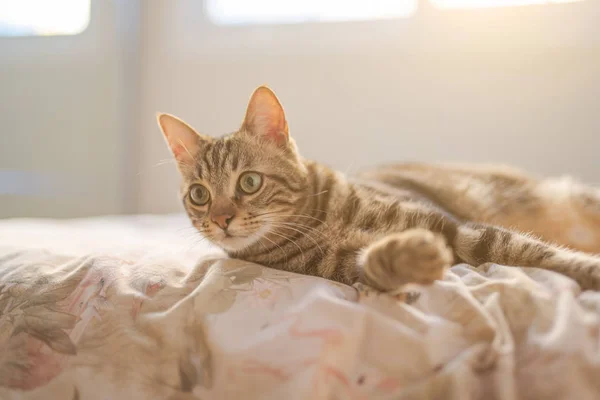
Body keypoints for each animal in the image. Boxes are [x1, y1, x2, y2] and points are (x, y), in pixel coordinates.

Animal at [156, 85, 600, 290]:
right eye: (199, 195)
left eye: (249, 182)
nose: (221, 219)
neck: (321, 223)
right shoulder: (343, 268)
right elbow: (373, 265)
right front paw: (409, 256)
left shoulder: (459, 229)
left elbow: (535, 252)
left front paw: (587, 269)